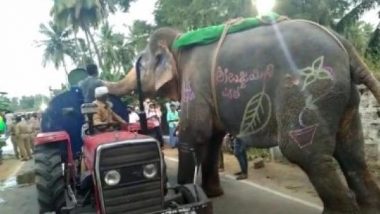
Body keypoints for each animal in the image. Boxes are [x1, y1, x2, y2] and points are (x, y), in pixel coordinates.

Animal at [105, 19, 380, 213]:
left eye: (140, 65)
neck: (179, 42)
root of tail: (343, 43)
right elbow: (213, 140)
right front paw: (214, 193)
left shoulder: (195, 83)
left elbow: (194, 133)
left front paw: (185, 190)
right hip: (344, 96)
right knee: (352, 151)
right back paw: (369, 205)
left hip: (311, 89)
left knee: (304, 152)